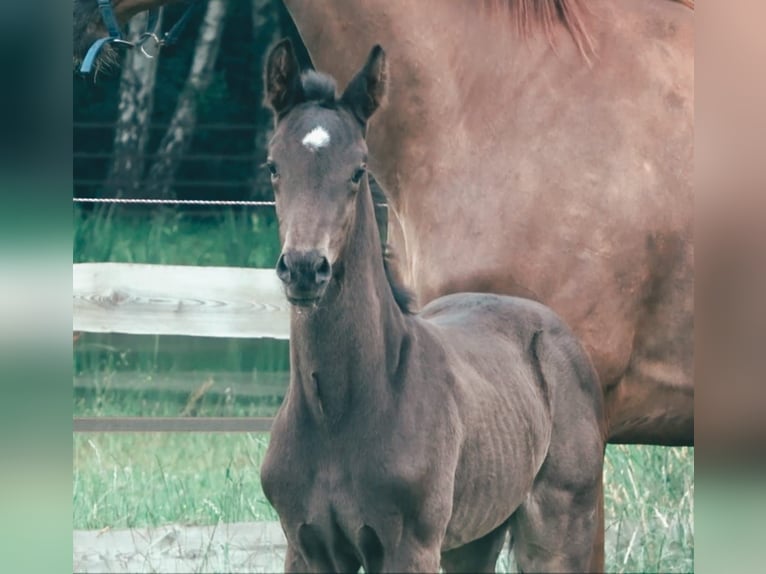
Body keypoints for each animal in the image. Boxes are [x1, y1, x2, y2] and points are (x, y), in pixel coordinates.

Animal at [260, 38, 608, 572]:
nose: (303, 268)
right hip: (473, 538)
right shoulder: (306, 547)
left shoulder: (411, 546)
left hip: (558, 526)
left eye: (358, 170)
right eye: (274, 165)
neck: (336, 413)